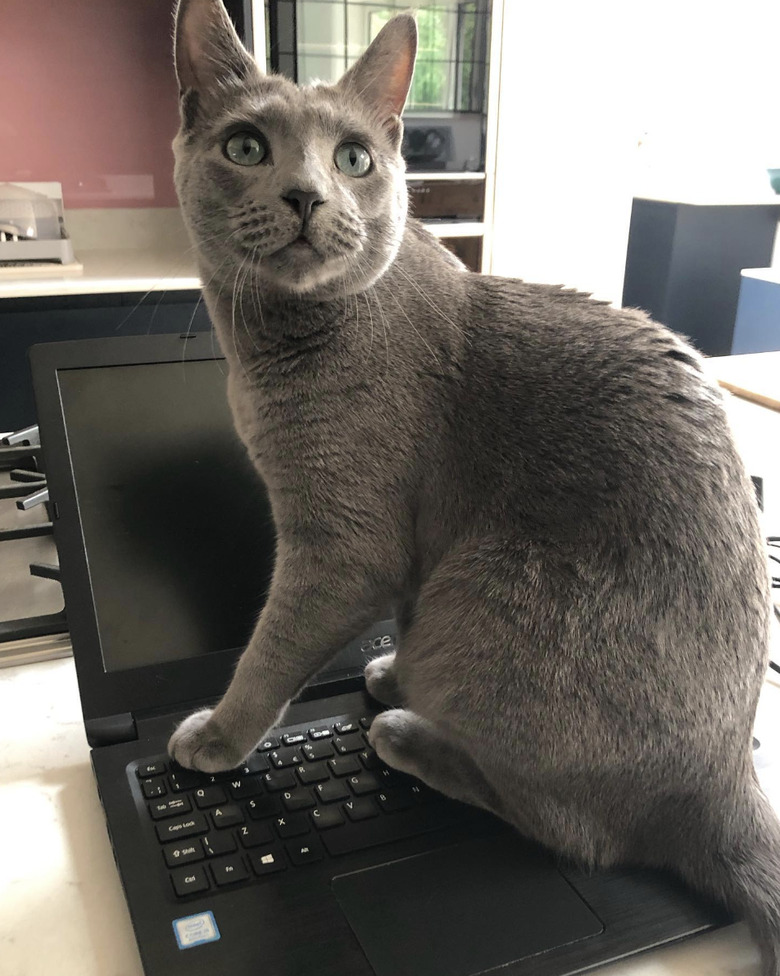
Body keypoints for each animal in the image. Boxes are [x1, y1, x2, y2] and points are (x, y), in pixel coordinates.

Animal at [168, 3, 776, 972]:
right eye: (247, 147)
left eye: (353, 159)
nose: (306, 196)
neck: (272, 344)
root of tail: (727, 784)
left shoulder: (341, 547)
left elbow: (270, 652)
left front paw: (217, 735)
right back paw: (394, 679)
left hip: (488, 596)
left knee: (578, 829)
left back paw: (406, 729)